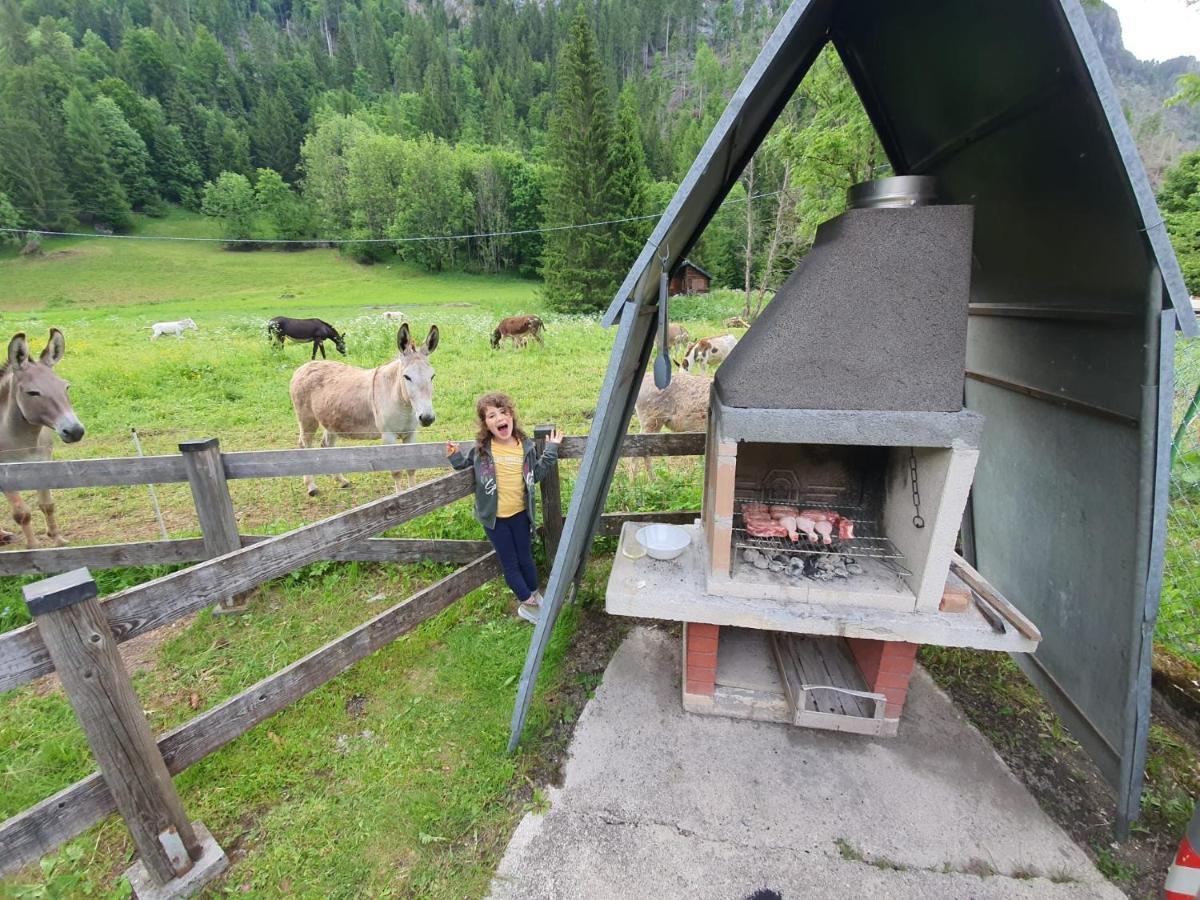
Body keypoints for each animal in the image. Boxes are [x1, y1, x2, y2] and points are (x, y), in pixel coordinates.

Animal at [0, 328, 85, 547]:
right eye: (33, 393)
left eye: (66, 387)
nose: (75, 431)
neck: (23, 443)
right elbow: (22, 513)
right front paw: (33, 547)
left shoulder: (42, 462)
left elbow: (47, 504)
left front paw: (58, 539)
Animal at [288, 321, 439, 496]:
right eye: (407, 377)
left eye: (432, 376)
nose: (427, 418)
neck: (403, 403)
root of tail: (303, 367)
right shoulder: (388, 436)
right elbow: (396, 472)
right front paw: (399, 496)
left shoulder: (411, 433)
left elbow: (412, 468)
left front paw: (414, 492)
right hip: (307, 419)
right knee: (304, 446)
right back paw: (311, 486)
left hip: (330, 420)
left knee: (326, 446)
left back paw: (341, 481)